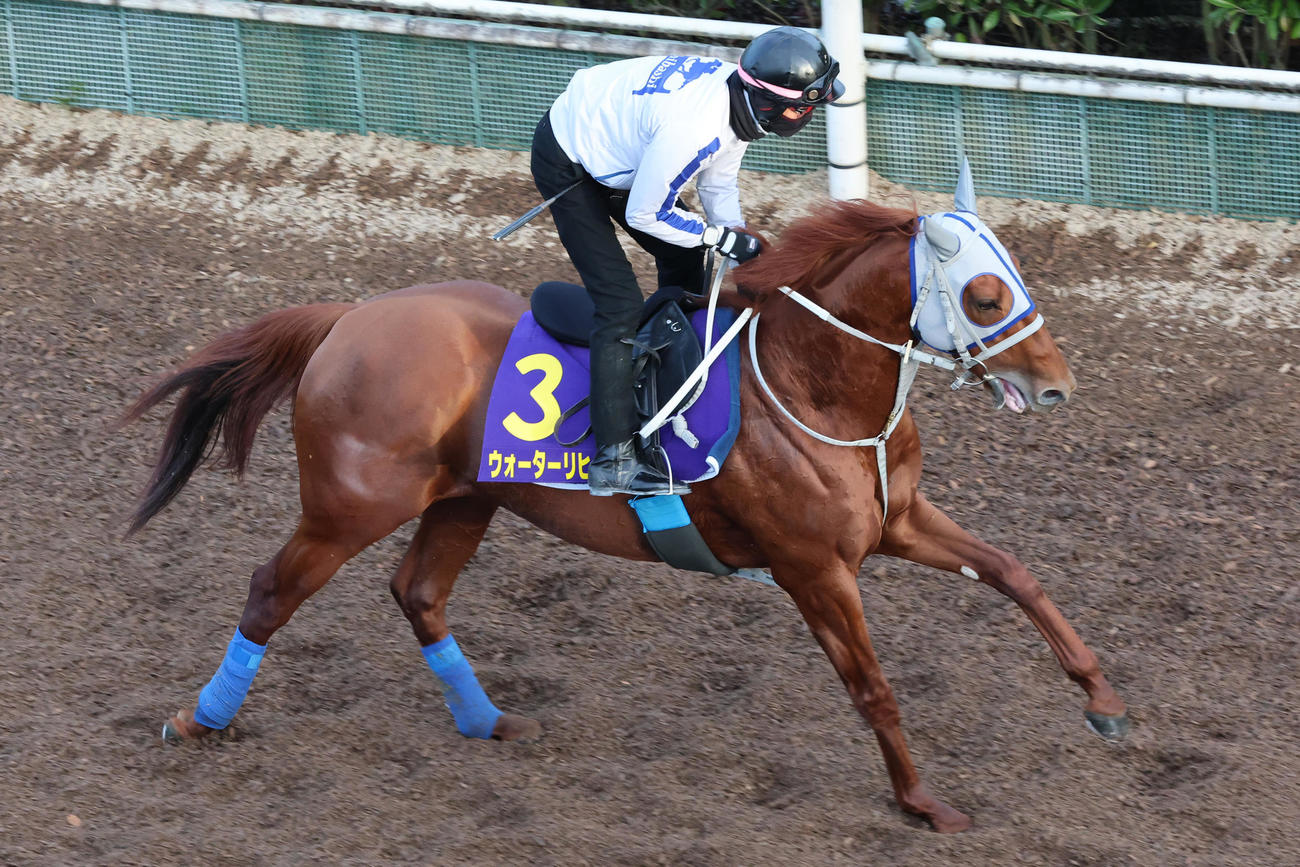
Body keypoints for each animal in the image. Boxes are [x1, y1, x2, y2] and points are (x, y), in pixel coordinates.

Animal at [124, 173, 1129, 833]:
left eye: (1016, 279)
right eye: (984, 293)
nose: (1056, 386)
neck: (815, 387)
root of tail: (347, 319)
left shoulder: (897, 524)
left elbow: (1016, 573)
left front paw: (1104, 700)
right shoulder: (813, 566)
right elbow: (874, 686)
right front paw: (922, 802)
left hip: (464, 499)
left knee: (419, 592)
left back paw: (487, 718)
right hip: (349, 507)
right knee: (271, 590)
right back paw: (198, 719)